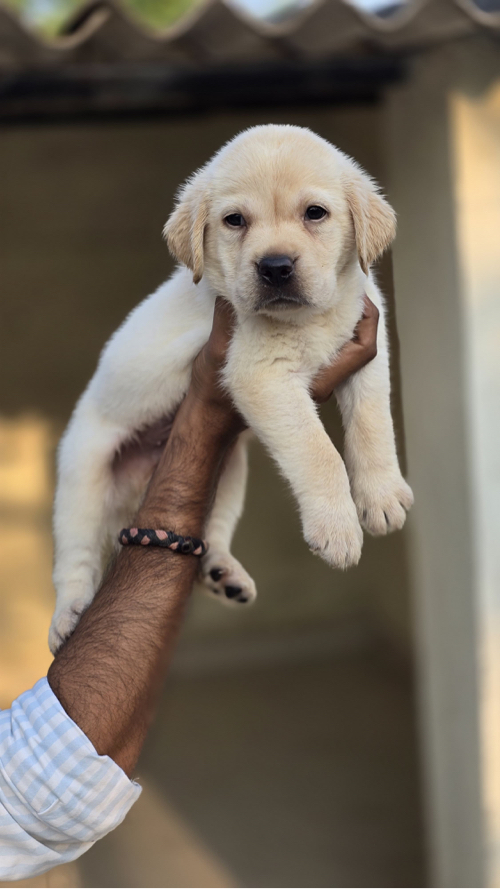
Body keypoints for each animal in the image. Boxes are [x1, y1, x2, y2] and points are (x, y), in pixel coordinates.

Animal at [48, 125, 412, 652]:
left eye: (315, 213)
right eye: (235, 220)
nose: (275, 266)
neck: (311, 318)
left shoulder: (367, 352)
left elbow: (372, 422)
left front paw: (381, 495)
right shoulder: (258, 373)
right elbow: (319, 452)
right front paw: (338, 527)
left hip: (230, 468)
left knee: (210, 530)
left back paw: (223, 572)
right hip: (83, 478)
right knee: (75, 557)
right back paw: (68, 615)